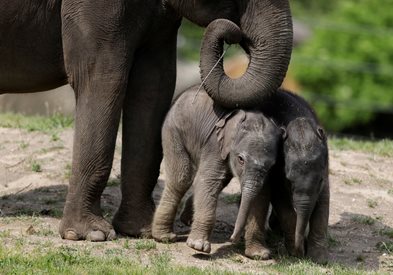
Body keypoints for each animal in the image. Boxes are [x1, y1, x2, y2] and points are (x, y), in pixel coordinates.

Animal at [151, 86, 282, 258]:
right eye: (241, 159)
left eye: (272, 165)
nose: (233, 238)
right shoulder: (215, 144)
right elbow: (209, 180)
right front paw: (198, 247)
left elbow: (261, 194)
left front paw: (259, 255)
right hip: (174, 131)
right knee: (181, 179)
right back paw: (165, 237)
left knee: (220, 183)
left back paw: (186, 220)